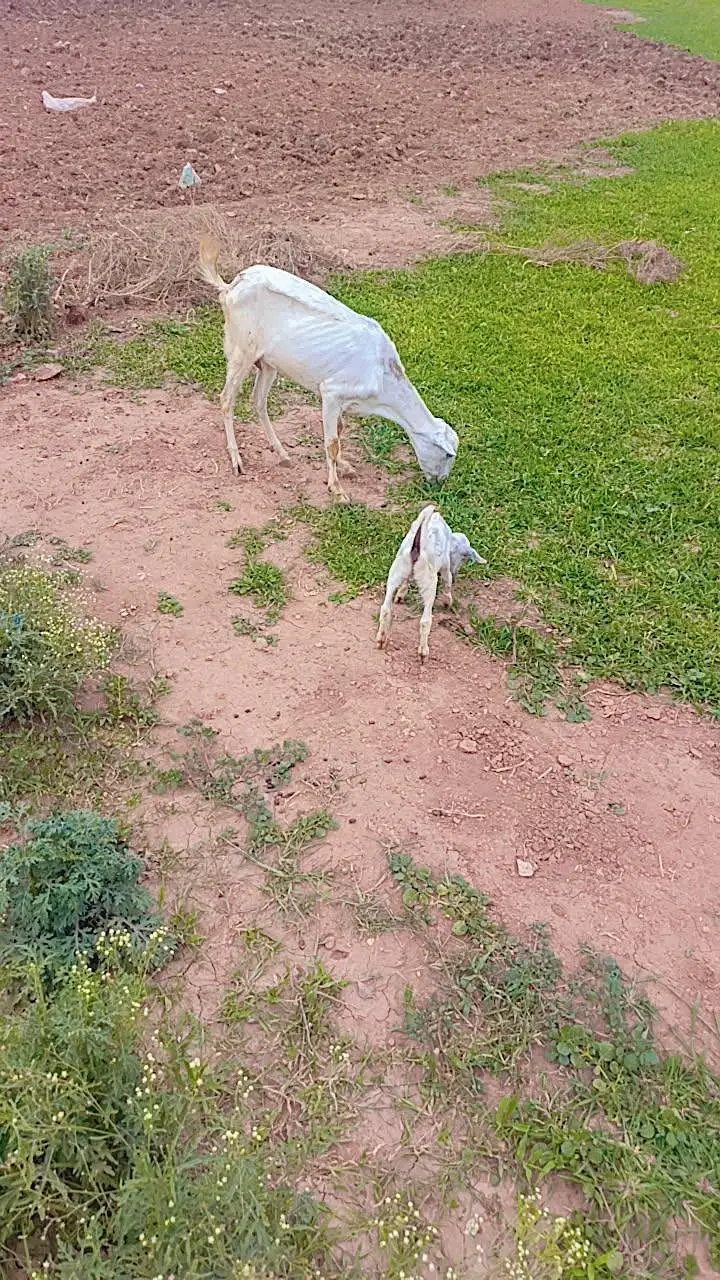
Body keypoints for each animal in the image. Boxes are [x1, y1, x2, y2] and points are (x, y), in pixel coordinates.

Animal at [198, 239, 459, 502]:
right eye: (448, 455)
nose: (440, 482)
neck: (383, 376)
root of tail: (231, 285)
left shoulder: (343, 401)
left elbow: (340, 431)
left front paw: (345, 466)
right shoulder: (332, 391)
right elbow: (332, 442)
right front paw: (337, 490)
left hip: (268, 363)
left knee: (259, 402)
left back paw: (282, 454)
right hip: (241, 351)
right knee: (226, 399)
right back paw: (236, 461)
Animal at [376, 504, 486, 661]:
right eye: (464, 557)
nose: (456, 572)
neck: (450, 539)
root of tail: (417, 544)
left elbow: (406, 582)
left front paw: (401, 594)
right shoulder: (445, 565)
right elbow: (448, 582)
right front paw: (448, 602)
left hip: (396, 571)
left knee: (385, 609)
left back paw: (381, 639)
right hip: (429, 581)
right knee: (425, 620)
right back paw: (423, 652)